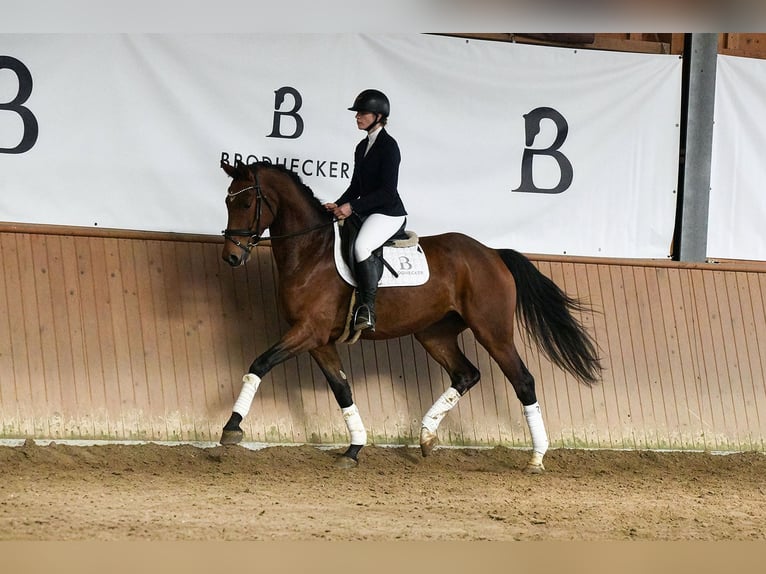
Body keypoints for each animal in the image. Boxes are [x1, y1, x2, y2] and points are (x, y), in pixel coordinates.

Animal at [218, 159, 602, 473]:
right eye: (227, 201)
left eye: (247, 203)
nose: (231, 258)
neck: (311, 251)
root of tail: (492, 253)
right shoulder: (318, 339)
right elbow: (342, 389)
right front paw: (354, 449)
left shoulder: (309, 331)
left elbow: (260, 364)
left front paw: (231, 428)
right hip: (434, 333)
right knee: (465, 374)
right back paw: (427, 436)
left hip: (493, 332)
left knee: (522, 381)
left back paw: (536, 457)